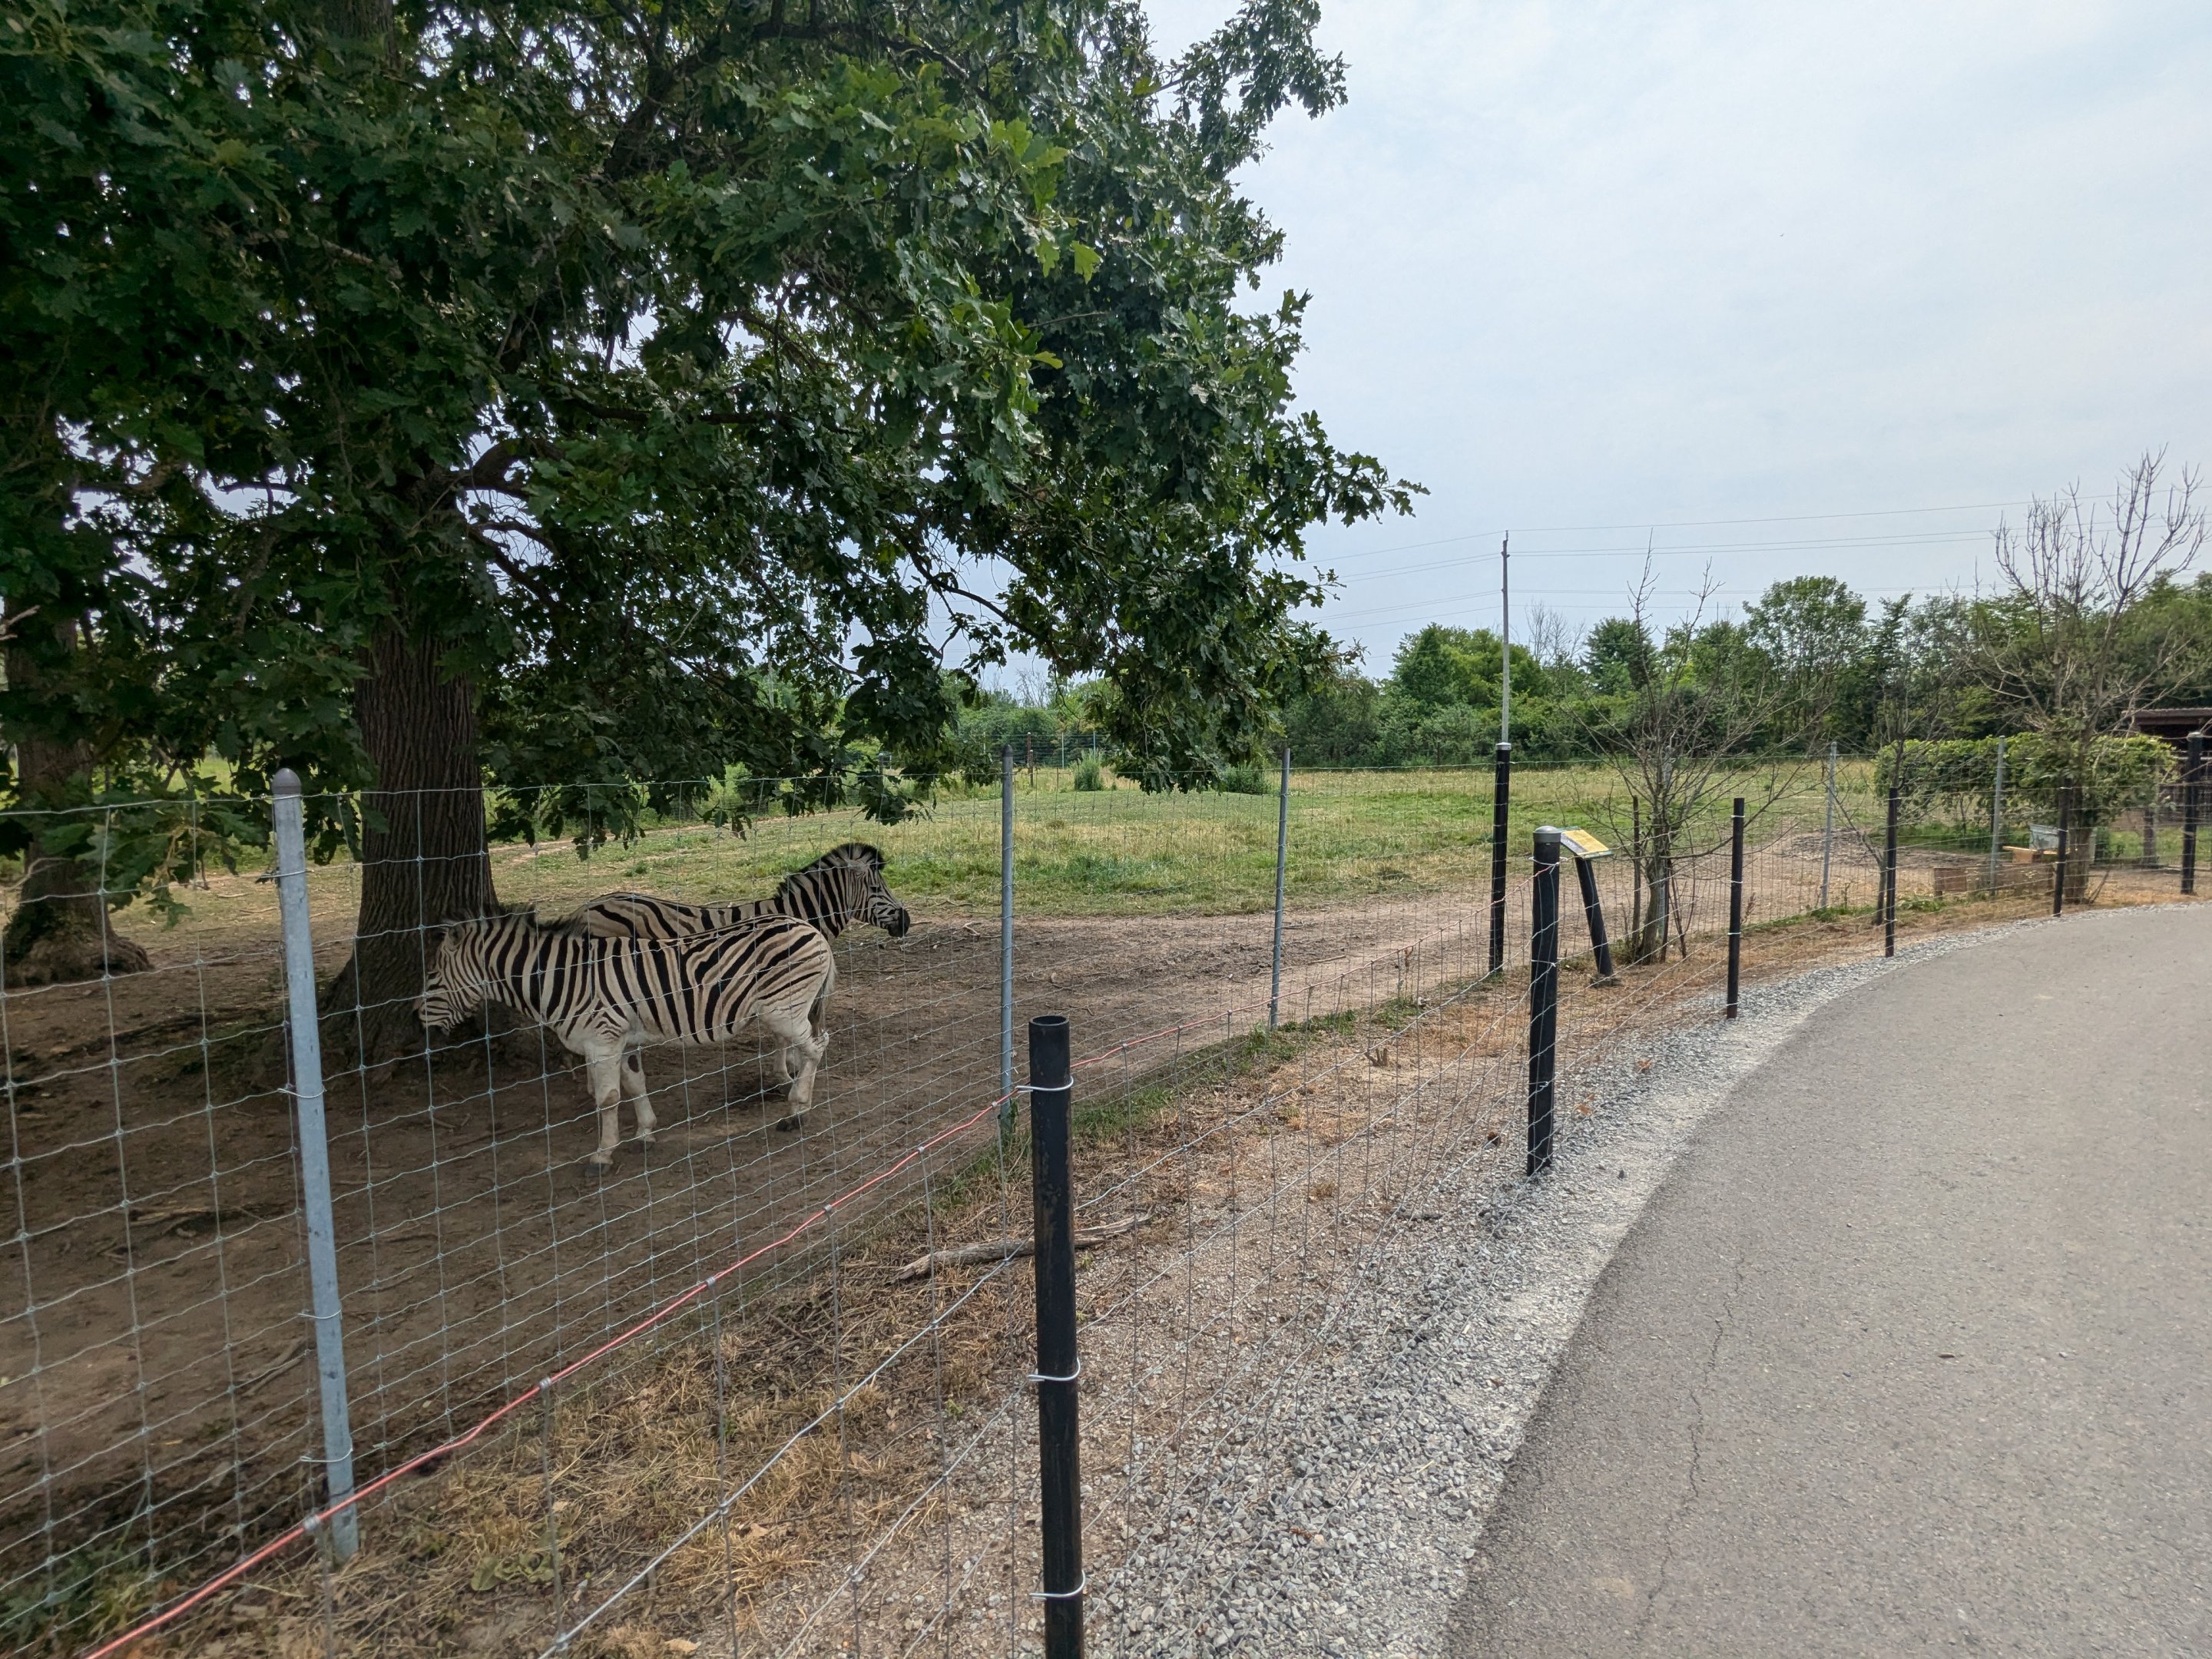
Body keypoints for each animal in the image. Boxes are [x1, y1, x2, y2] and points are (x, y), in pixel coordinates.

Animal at [416, 910, 837, 1166]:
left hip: (783, 1010)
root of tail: (811, 928)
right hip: (790, 1009)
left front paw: (603, 1154)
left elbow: (607, 1098)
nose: (417, 1019)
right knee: (815, 1045)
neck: (565, 979)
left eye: (432, 976)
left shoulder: (602, 1040)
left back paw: (797, 1111)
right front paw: (646, 1132)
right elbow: (634, 1084)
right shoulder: (620, 1040)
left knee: (817, 1047)